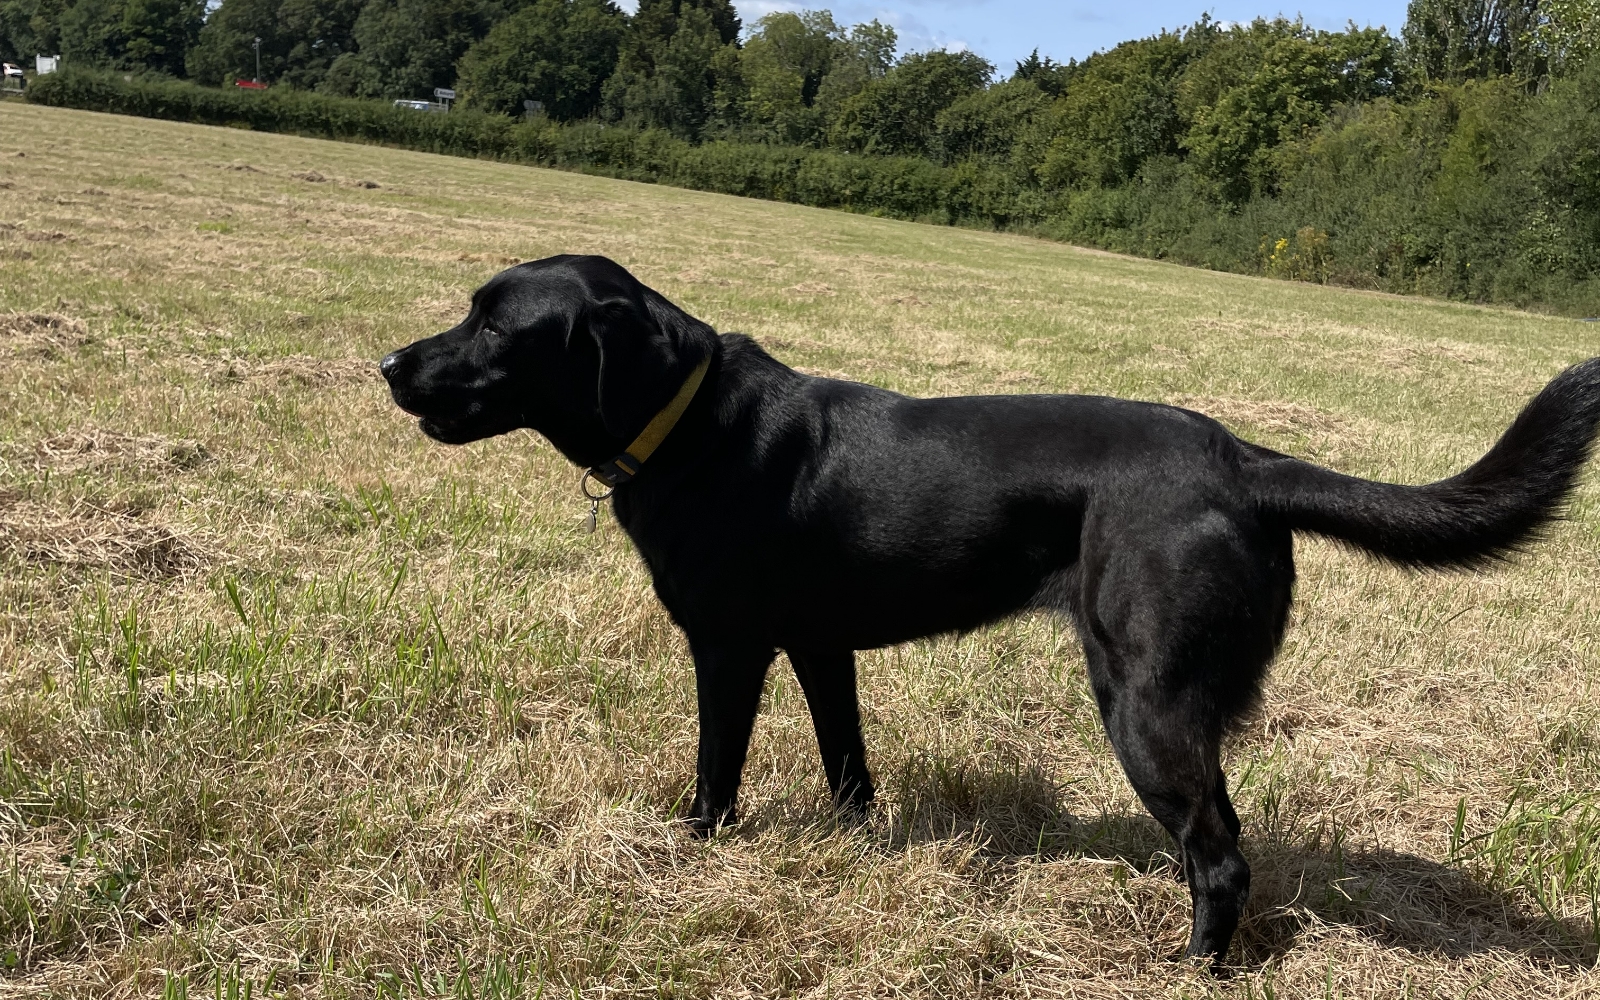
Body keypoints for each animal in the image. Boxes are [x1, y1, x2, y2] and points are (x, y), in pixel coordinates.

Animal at [384, 251, 1600, 960]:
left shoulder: (728, 649)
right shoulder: (821, 648)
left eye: (494, 327)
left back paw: (1188, 966)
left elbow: (715, 772)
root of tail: (1240, 460)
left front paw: (691, 848)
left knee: (1219, 850)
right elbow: (847, 761)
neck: (691, 425)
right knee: (1221, 836)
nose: (389, 363)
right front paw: (857, 841)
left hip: (1143, 700)